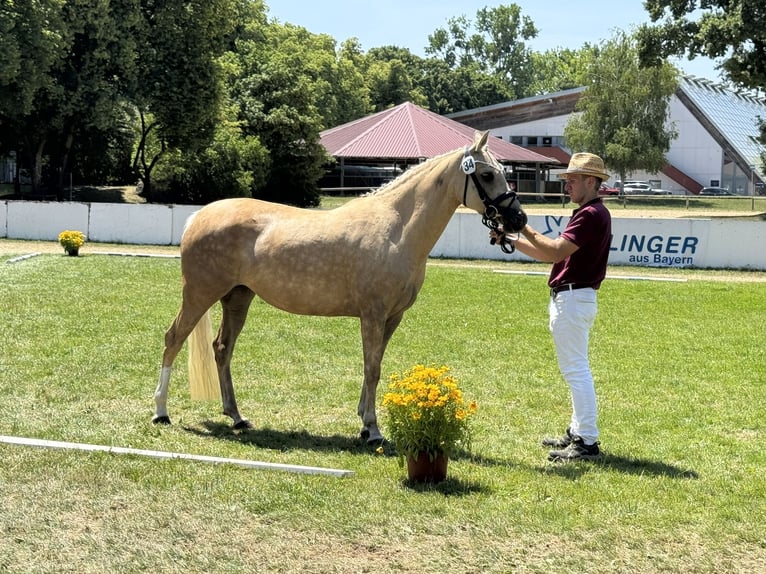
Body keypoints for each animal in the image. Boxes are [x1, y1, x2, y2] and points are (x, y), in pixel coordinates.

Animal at [152, 130, 528, 443]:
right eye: (487, 174)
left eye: (503, 171)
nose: (518, 219)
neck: (397, 227)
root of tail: (198, 217)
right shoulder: (373, 315)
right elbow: (372, 369)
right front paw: (373, 430)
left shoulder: (391, 317)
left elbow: (374, 366)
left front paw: (364, 420)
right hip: (199, 294)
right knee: (173, 339)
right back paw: (161, 412)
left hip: (237, 298)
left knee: (222, 348)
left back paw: (236, 416)